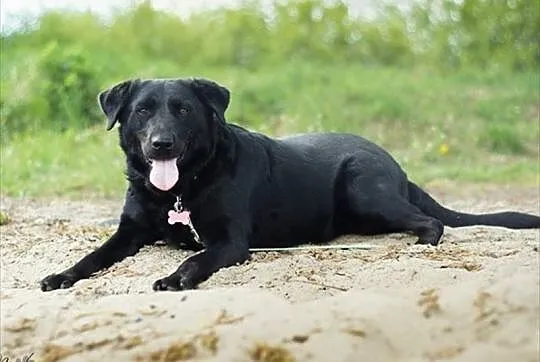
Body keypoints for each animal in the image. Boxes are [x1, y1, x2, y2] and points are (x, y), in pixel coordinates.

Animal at [41, 78, 540, 292]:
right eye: (143, 111)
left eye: (182, 109)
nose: (161, 144)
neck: (180, 191)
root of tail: (394, 165)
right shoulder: (130, 231)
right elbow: (92, 257)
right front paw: (62, 275)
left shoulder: (228, 242)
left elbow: (195, 259)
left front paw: (175, 278)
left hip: (363, 189)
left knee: (431, 222)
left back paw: (420, 241)